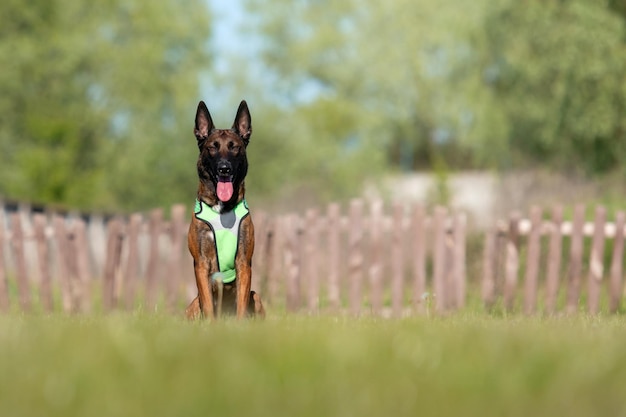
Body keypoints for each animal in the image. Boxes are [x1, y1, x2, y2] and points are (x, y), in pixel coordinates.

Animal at [184, 100, 264, 318]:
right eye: (212, 147)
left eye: (234, 147)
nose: (224, 168)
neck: (222, 210)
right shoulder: (201, 263)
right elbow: (208, 305)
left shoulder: (244, 262)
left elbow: (241, 306)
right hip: (191, 307)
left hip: (257, 297)